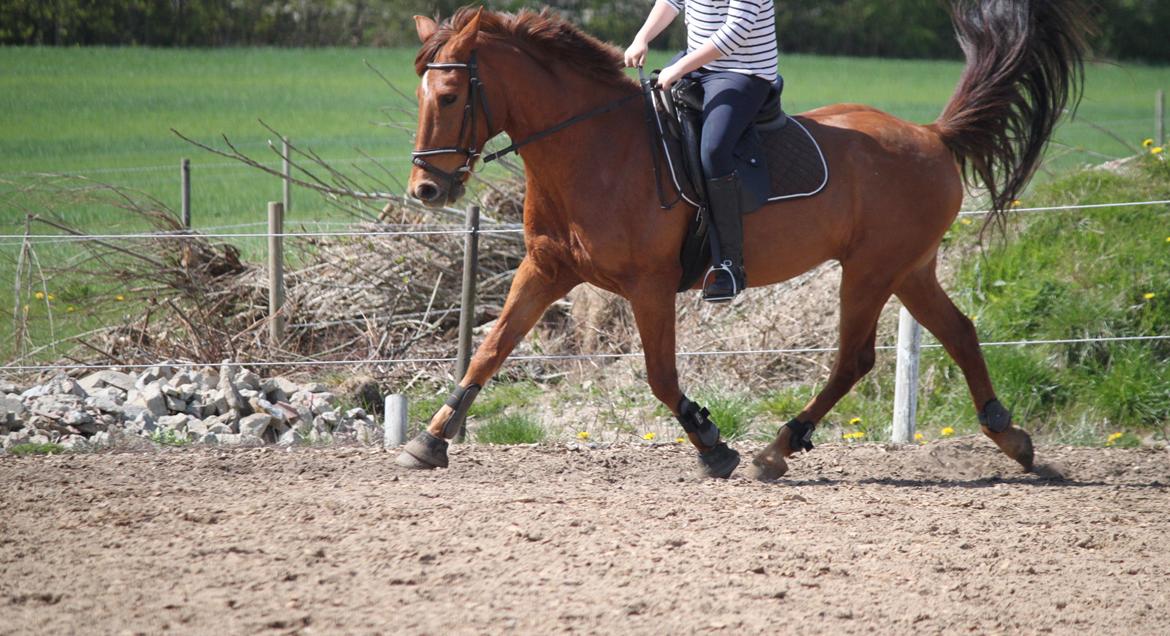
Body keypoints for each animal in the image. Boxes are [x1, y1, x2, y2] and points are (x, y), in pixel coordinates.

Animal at [397, 0, 1090, 477]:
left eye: (451, 95)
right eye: (422, 93)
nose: (426, 189)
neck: (593, 148)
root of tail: (930, 135)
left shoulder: (649, 285)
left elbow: (659, 375)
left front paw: (712, 446)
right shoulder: (545, 269)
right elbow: (489, 351)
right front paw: (429, 440)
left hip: (871, 269)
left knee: (855, 359)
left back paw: (776, 450)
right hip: (909, 269)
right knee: (960, 332)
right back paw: (1012, 440)